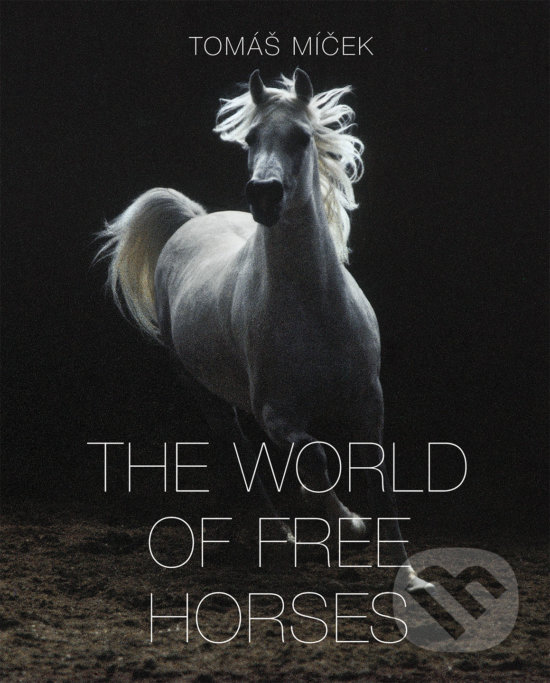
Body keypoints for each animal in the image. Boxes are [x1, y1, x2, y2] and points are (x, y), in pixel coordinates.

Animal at [97, 69, 431, 593]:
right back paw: (283, 539)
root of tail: (192, 223)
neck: (314, 308)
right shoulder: (277, 414)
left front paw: (409, 576)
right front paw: (350, 524)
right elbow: (313, 460)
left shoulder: (367, 403)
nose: (264, 195)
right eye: (251, 138)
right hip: (206, 394)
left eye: (302, 137)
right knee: (242, 457)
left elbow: (380, 483)